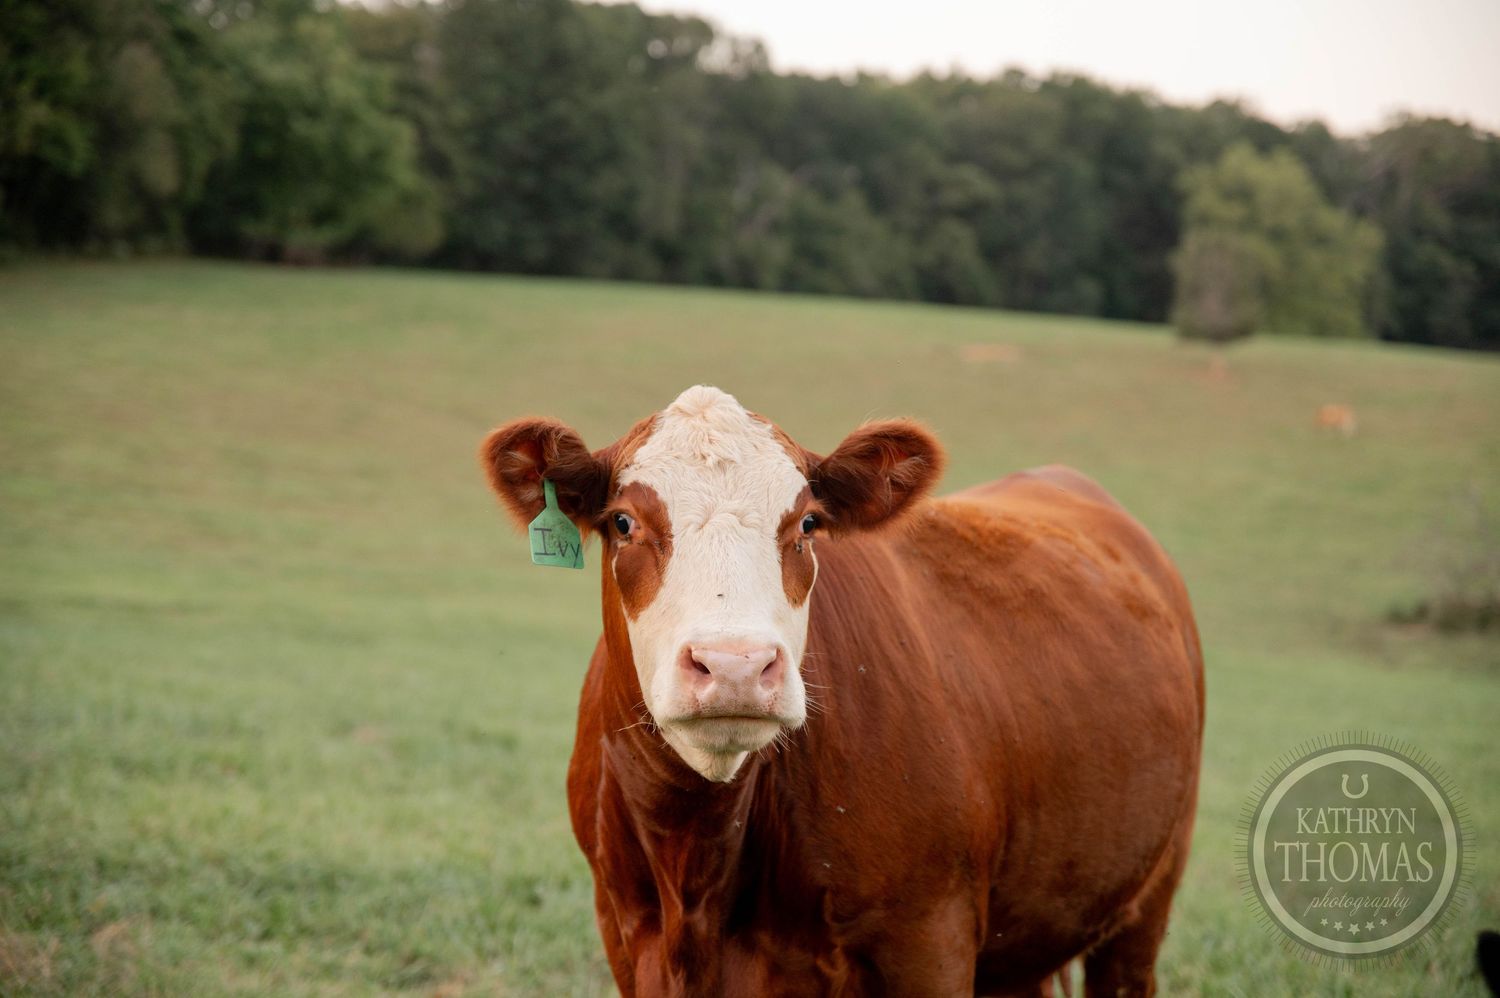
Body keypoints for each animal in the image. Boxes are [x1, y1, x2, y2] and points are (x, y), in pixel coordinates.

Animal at [479, 386, 1204, 997]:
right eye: (625, 522)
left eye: (806, 524)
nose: (735, 665)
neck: (696, 865)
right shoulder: (626, 934)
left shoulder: (929, 939)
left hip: (1148, 898)